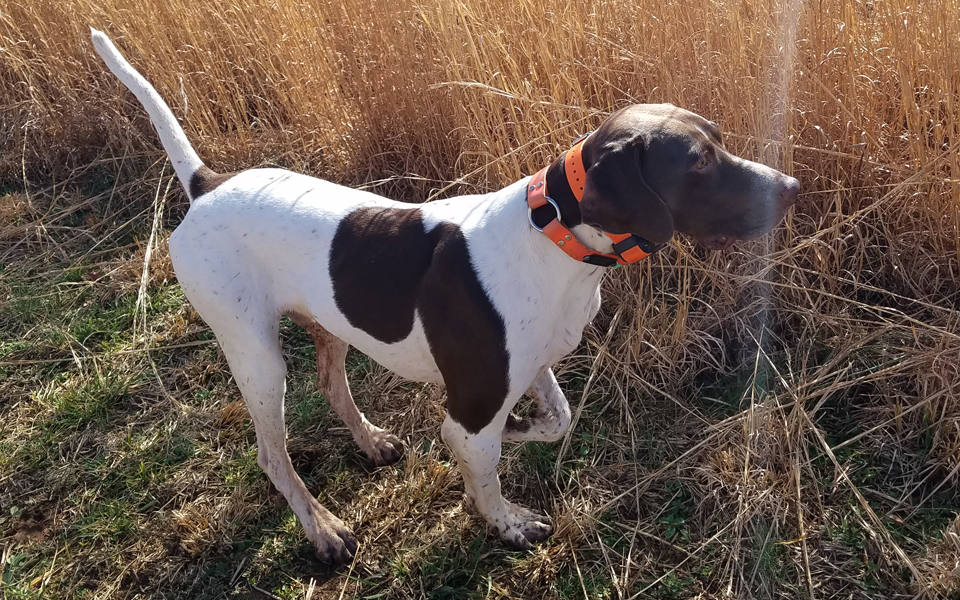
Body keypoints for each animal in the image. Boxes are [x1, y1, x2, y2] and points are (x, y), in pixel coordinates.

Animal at [90, 28, 800, 564]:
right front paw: (506, 520)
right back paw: (323, 529)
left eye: (718, 141)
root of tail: (208, 185)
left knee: (333, 385)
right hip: (256, 356)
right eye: (697, 161)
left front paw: (518, 430)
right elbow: (480, 462)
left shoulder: (533, 362)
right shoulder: (476, 402)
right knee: (273, 453)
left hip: (325, 325)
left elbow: (553, 421)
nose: (791, 186)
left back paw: (371, 442)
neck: (554, 237)